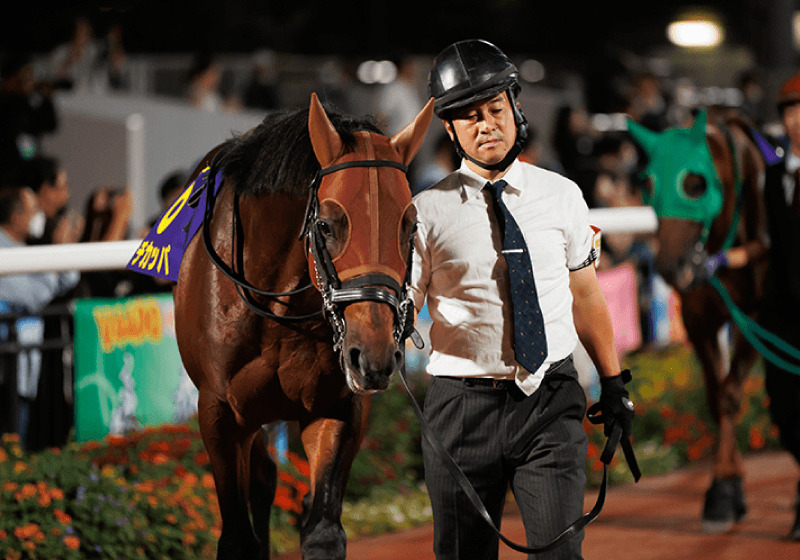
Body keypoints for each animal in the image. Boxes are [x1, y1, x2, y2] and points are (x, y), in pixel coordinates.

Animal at [172, 93, 434, 559]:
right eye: (327, 224)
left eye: (409, 226)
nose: (374, 357)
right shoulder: (219, 414)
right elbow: (237, 536)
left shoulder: (335, 406)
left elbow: (323, 528)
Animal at [627, 109, 770, 532]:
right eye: (648, 182)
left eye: (695, 183)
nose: (670, 267)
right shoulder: (698, 317)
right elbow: (715, 394)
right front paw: (726, 489)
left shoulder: (758, 316)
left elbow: (730, 394)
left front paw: (724, 489)